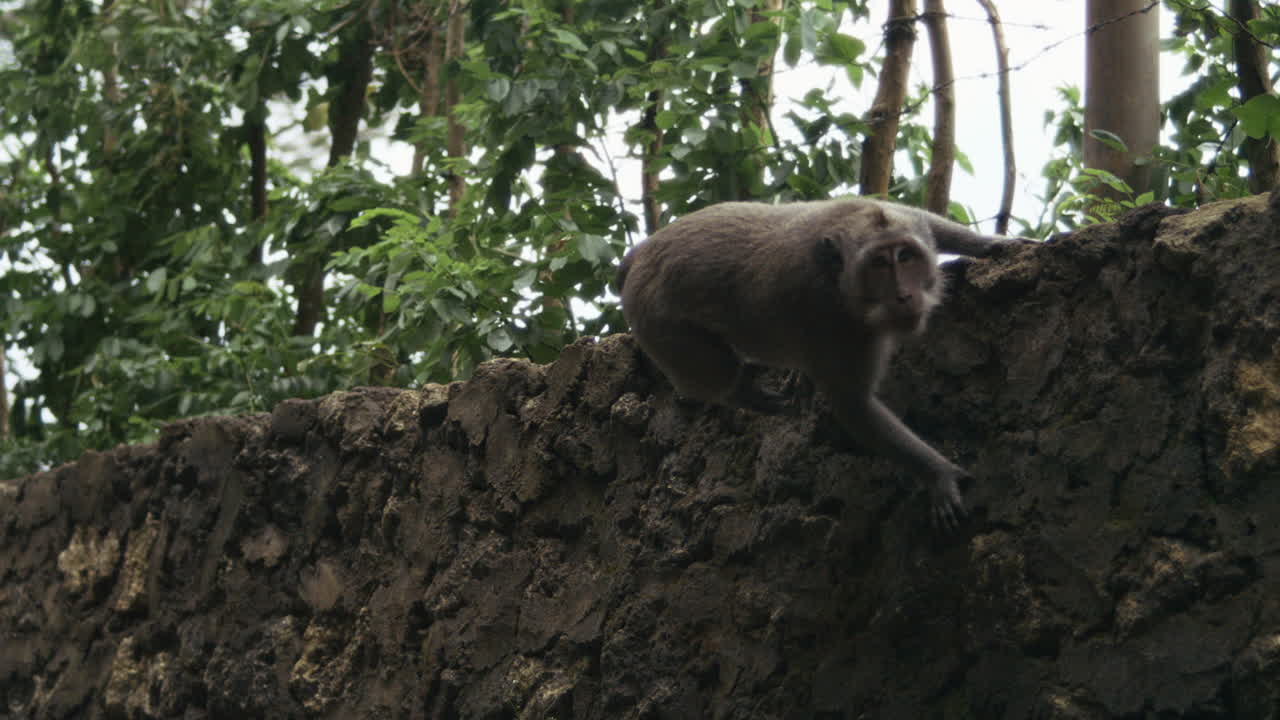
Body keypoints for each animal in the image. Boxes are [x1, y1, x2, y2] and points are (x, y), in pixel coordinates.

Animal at [616, 197, 1030, 530]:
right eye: (879, 264)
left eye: (905, 257)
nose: (904, 295)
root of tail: (641, 254)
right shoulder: (831, 325)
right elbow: (854, 406)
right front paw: (939, 476)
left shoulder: (885, 215)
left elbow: (924, 219)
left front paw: (991, 244)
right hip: (656, 319)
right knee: (712, 371)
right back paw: (745, 391)